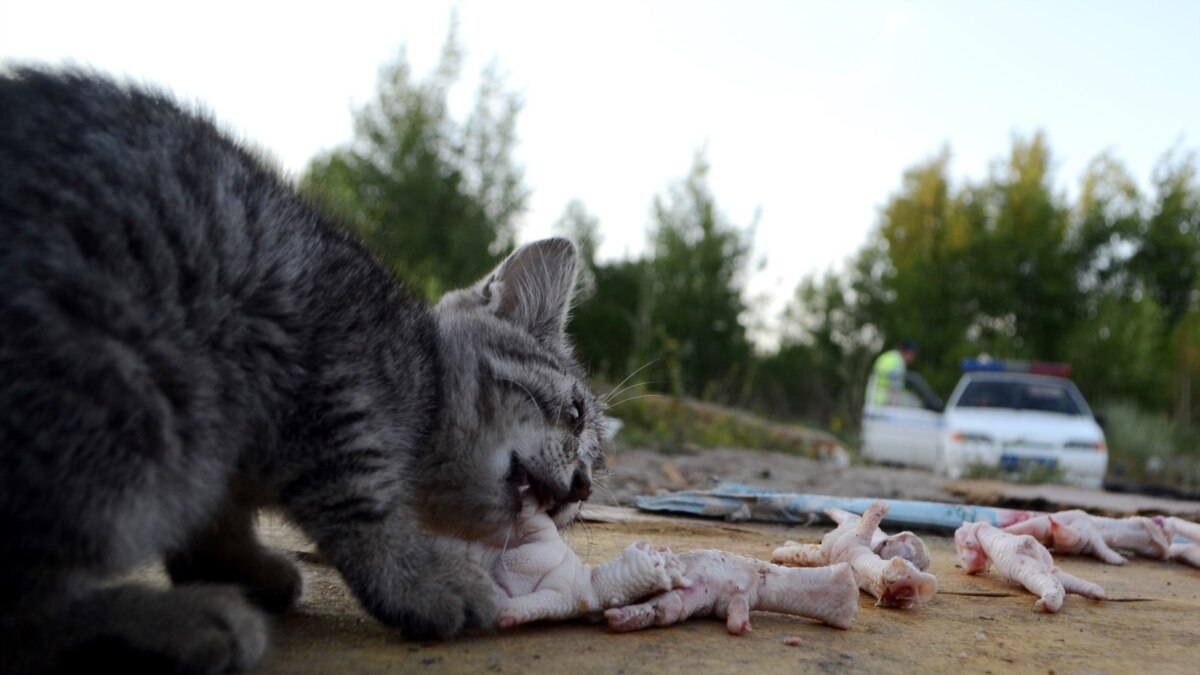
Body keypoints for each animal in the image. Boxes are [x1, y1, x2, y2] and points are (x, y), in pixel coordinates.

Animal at [0, 65, 604, 667]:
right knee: (22, 610)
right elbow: (361, 498)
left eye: (596, 472)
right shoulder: (331, 375)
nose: (582, 488)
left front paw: (239, 562)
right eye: (575, 413)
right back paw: (176, 623)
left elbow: (214, 524)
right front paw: (416, 580)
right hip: (136, 384)